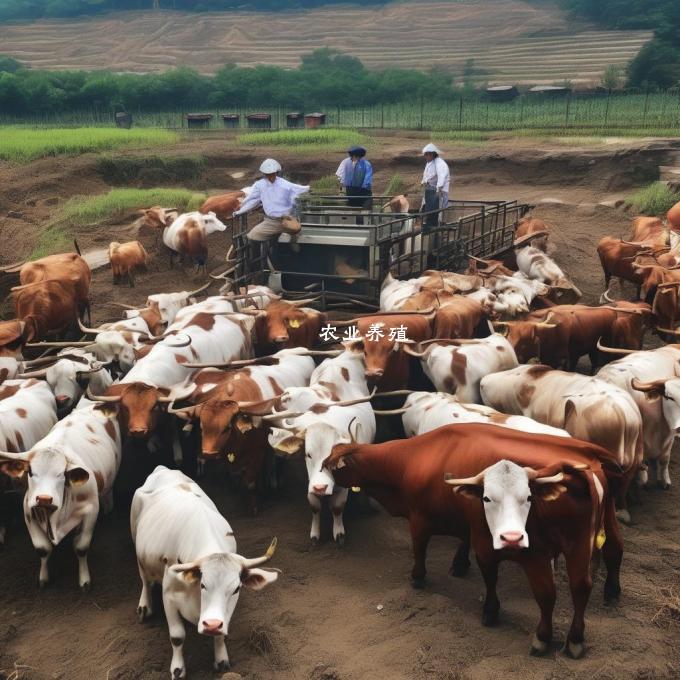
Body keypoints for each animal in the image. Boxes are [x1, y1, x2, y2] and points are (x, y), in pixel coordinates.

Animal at [0, 402, 121, 588]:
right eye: (31, 472)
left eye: (61, 475)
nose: (44, 498)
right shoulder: (28, 511)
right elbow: (42, 549)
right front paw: (43, 578)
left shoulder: (91, 510)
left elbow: (81, 547)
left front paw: (84, 580)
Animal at [130, 468, 278, 680]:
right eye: (203, 584)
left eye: (236, 589)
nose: (212, 624)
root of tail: (163, 469)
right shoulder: (169, 596)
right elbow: (177, 637)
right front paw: (177, 669)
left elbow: (221, 634)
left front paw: (221, 658)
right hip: (138, 548)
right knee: (144, 580)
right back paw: (144, 606)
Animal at [326, 424, 624, 660]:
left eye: (334, 460)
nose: (323, 465)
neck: (415, 458)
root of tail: (583, 460)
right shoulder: (473, 523)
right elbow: (464, 541)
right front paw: (459, 564)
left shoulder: (421, 518)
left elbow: (424, 550)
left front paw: (420, 578)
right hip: (589, 535)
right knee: (598, 568)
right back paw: (593, 615)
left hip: (538, 554)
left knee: (548, 593)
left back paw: (544, 637)